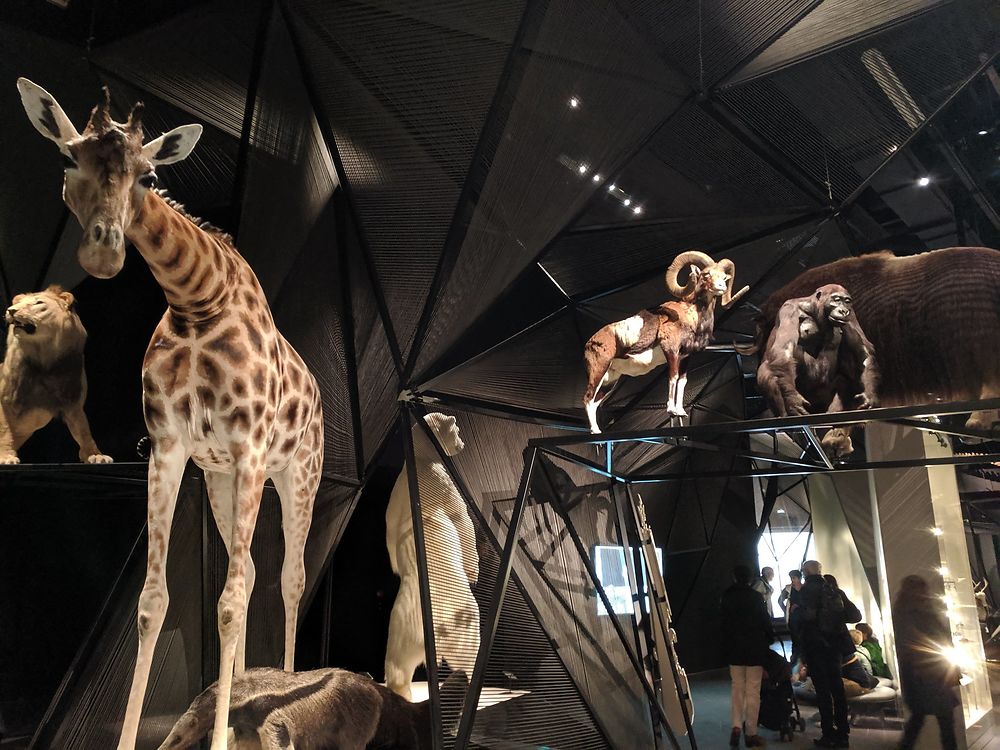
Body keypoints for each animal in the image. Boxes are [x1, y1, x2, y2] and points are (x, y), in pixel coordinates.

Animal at [384, 414, 482, 704]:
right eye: (457, 430)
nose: (462, 443)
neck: (418, 458)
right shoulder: (440, 480)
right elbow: (462, 521)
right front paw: (475, 571)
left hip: (400, 628)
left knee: (398, 666)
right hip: (459, 616)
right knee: (468, 652)